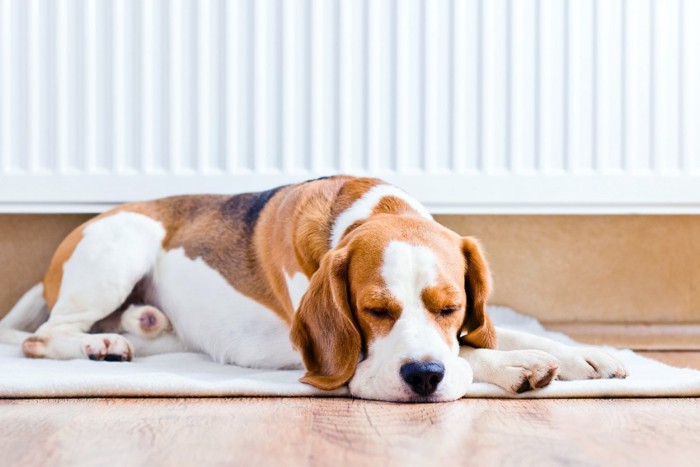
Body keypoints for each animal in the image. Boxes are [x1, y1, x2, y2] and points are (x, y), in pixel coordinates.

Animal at [0, 176, 624, 402]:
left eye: (451, 307)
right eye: (373, 310)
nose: (423, 378)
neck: (373, 209)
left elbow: (494, 332)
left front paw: (585, 354)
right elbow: (471, 352)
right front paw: (520, 365)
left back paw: (131, 331)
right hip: (123, 244)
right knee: (43, 337)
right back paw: (97, 346)